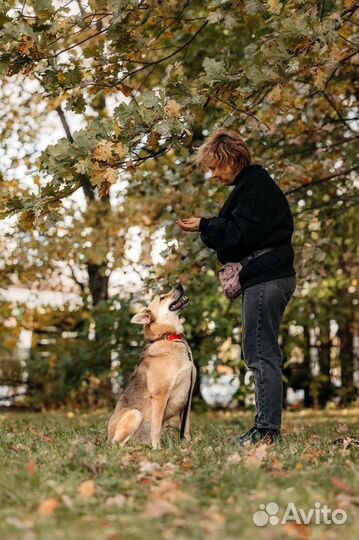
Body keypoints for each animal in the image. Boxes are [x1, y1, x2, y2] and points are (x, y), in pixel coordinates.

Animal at [107, 284, 197, 450]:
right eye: (162, 298)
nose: (179, 285)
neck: (168, 338)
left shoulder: (188, 396)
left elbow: (185, 426)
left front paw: (187, 444)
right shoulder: (160, 396)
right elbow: (156, 428)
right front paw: (158, 449)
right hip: (134, 414)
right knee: (117, 444)